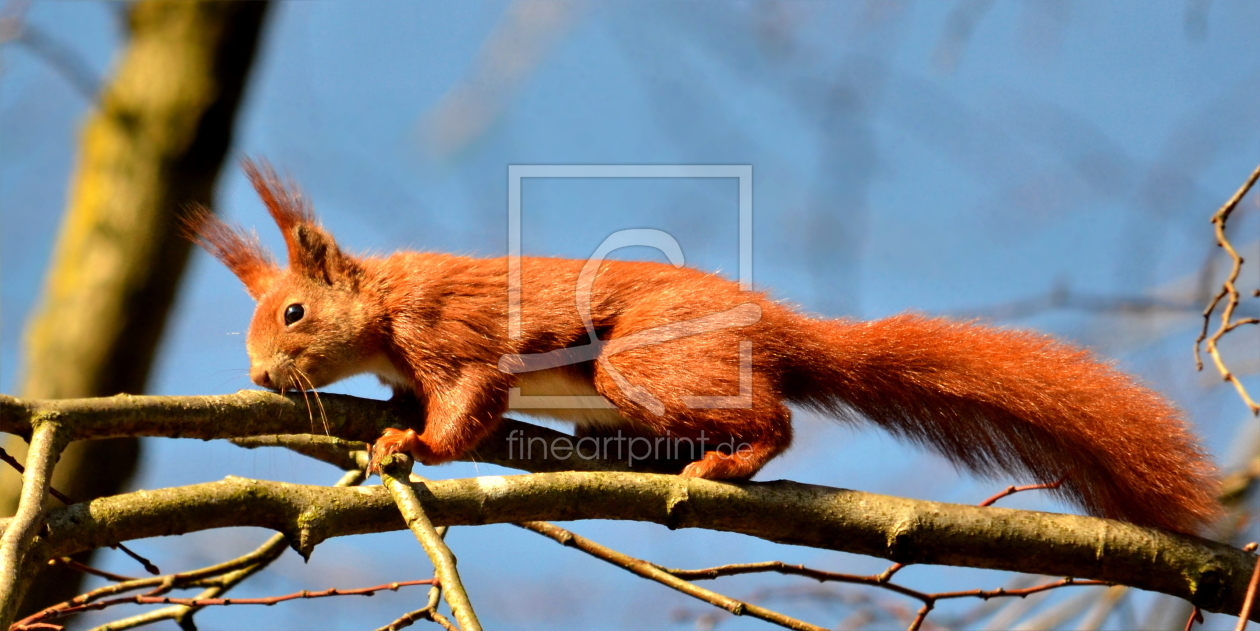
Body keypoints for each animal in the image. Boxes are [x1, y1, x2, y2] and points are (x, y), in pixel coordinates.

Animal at [186, 159, 1219, 534]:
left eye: (292, 313)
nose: (256, 375)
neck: (387, 310)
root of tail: (777, 324)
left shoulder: (450, 336)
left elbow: (468, 401)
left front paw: (414, 444)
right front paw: (386, 426)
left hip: (643, 361)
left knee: (775, 421)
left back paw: (728, 461)